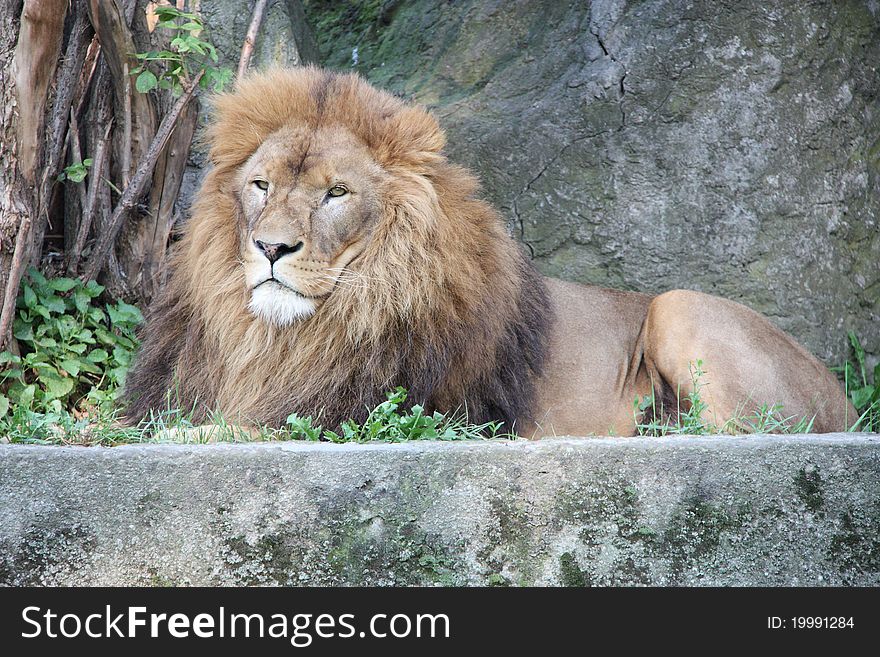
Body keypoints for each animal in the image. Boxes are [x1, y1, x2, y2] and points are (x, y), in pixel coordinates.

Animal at [122, 66, 852, 436]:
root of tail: (845, 398)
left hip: (680, 309)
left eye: (335, 193)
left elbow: (229, 429)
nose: (272, 247)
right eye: (262, 185)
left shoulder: (382, 415)